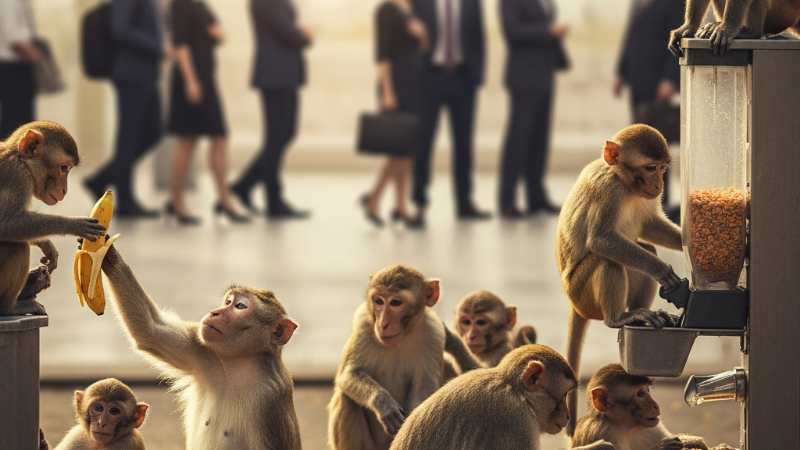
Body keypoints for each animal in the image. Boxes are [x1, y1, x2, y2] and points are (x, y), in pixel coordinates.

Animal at [0, 121, 106, 316]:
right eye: (64, 168)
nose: (65, 190)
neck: (21, 160)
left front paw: (46, 245)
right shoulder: (17, 176)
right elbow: (6, 224)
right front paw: (74, 225)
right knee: (18, 246)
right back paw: (9, 307)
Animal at [96, 244, 301, 449]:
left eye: (241, 306)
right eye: (228, 302)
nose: (214, 312)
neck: (237, 367)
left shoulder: (270, 399)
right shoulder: (204, 352)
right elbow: (150, 330)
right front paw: (108, 254)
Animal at [327, 264, 477, 450]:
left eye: (396, 303)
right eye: (378, 301)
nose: (383, 324)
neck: (401, 339)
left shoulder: (434, 332)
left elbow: (423, 387)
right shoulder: (362, 322)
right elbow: (349, 374)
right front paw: (383, 404)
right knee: (347, 397)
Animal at [556, 124, 684, 435]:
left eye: (663, 167)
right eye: (650, 168)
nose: (659, 184)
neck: (625, 185)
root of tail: (573, 303)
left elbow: (650, 227)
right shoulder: (609, 191)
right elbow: (602, 240)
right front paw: (661, 269)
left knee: (642, 250)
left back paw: (644, 313)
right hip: (582, 292)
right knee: (608, 259)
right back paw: (619, 318)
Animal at [571, 364, 709, 450]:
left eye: (647, 390)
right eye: (640, 394)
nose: (656, 406)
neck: (627, 427)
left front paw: (689, 440)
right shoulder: (602, 431)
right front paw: (661, 447)